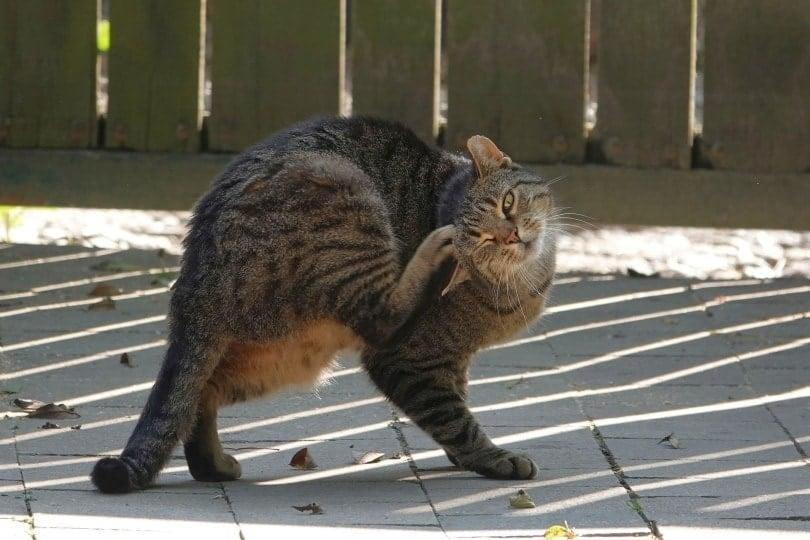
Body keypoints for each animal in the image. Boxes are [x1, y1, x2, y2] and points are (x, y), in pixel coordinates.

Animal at [90, 116, 556, 492]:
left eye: (508, 204)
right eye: (484, 239)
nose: (513, 236)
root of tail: (192, 275)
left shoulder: (453, 359)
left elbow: (456, 404)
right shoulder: (410, 360)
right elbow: (454, 419)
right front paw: (495, 459)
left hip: (280, 358)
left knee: (196, 396)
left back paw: (213, 466)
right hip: (341, 188)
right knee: (382, 317)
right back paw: (434, 252)